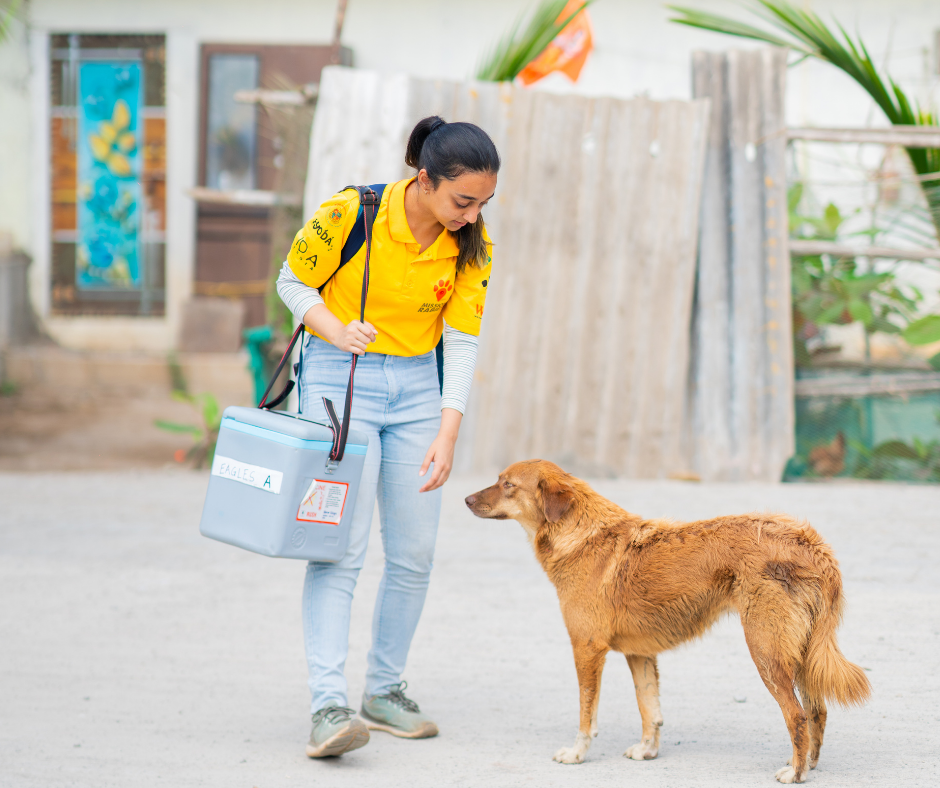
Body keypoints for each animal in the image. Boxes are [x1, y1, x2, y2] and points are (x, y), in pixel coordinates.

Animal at [466, 462, 872, 780]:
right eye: (498, 479)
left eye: (507, 484)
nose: (466, 499)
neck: (579, 535)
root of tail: (811, 544)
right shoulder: (639, 654)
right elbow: (650, 710)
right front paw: (648, 751)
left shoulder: (587, 649)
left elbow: (587, 714)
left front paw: (577, 755)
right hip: (801, 655)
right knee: (817, 712)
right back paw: (810, 765)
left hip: (767, 653)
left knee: (797, 716)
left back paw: (796, 772)